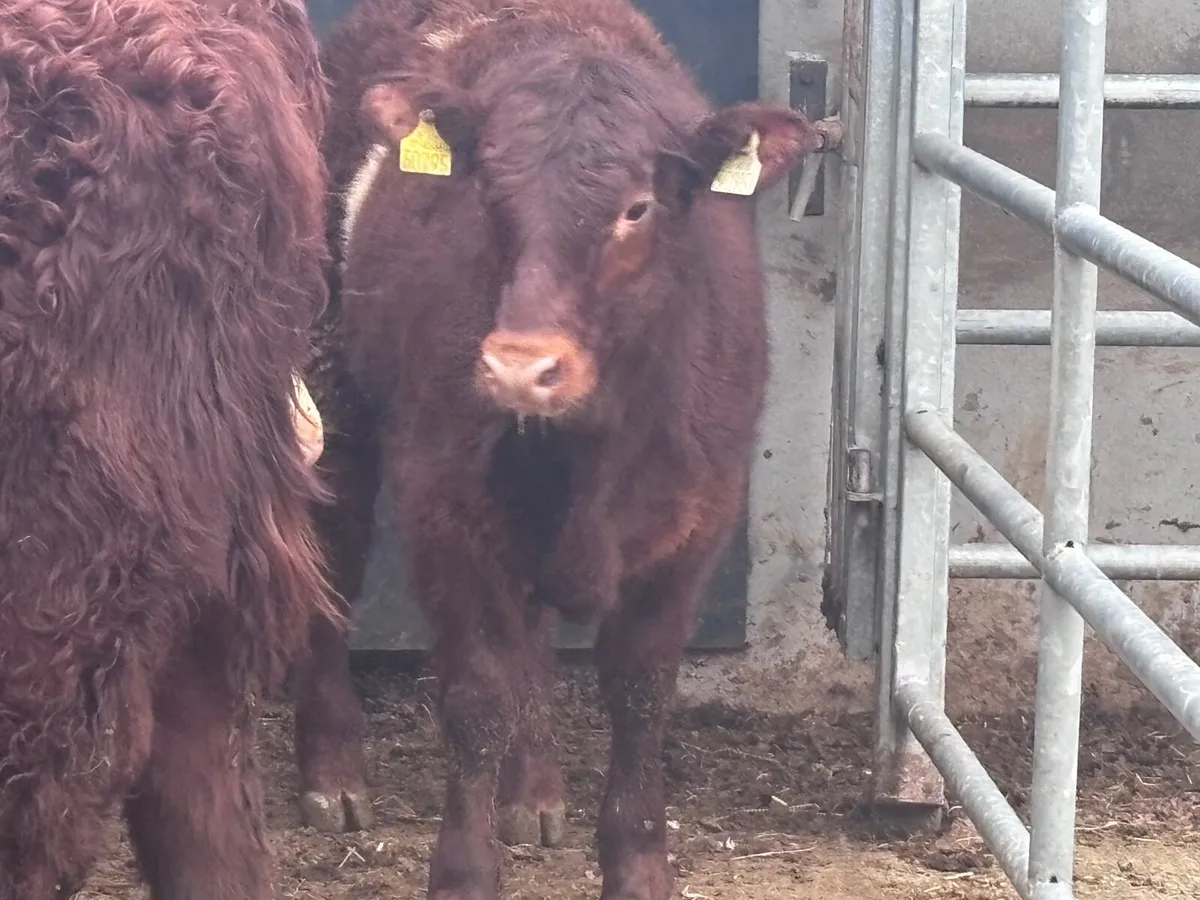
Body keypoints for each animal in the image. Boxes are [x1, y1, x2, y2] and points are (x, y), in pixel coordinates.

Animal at [293, 0, 825, 897]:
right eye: (488, 192)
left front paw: (638, 865)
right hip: (331, 390)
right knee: (334, 560)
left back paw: (534, 790)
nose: (519, 366)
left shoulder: (696, 520)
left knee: (533, 637)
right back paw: (332, 775)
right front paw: (463, 872)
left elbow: (639, 694)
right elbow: (476, 694)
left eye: (637, 207)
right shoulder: (443, 505)